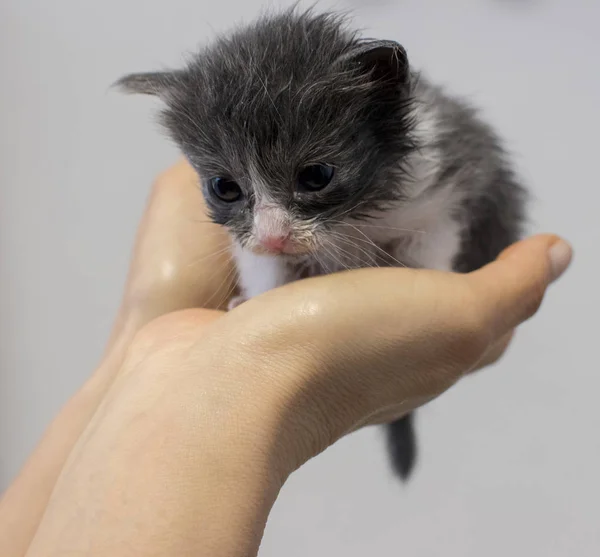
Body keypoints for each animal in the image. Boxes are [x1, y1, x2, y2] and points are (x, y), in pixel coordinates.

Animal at [116, 6, 524, 480]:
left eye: (316, 177)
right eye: (224, 187)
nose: (275, 236)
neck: (353, 214)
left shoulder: (441, 188)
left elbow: (431, 240)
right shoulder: (250, 240)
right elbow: (261, 264)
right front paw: (254, 295)